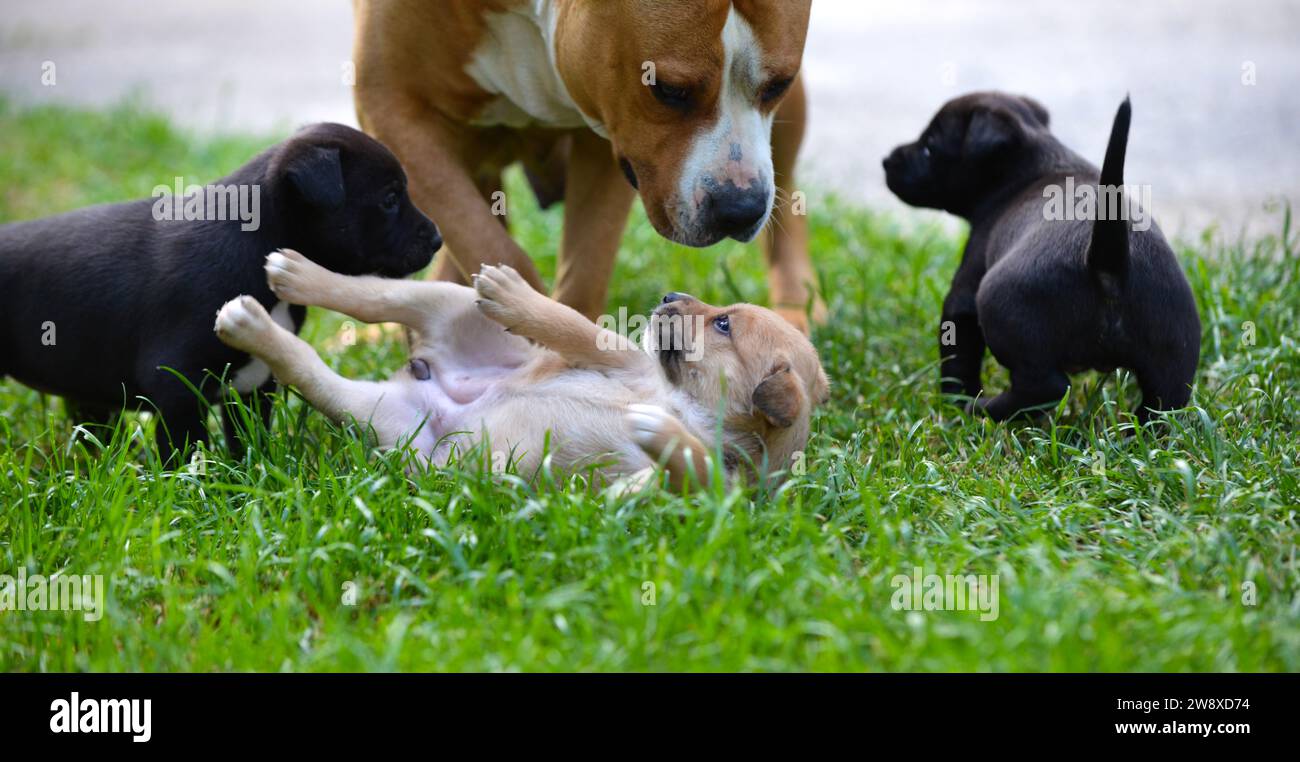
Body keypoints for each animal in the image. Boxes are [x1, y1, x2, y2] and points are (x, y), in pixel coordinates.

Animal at [209, 245, 826, 488]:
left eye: (723, 326)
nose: (670, 296)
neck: (683, 402)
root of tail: (433, 379)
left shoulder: (730, 492)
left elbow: (691, 473)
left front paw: (658, 442)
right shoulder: (623, 357)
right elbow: (569, 323)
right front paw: (514, 295)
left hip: (385, 421)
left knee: (311, 369)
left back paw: (250, 323)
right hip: (449, 300)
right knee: (374, 295)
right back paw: (295, 274)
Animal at [353, 0, 821, 332]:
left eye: (777, 84)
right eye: (668, 91)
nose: (739, 208)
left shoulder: (611, 133)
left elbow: (587, 265)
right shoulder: (392, 109)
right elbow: (481, 236)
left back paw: (794, 311)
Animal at [883, 93, 1196, 421]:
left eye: (929, 147)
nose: (886, 161)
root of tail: (1108, 263)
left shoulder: (964, 292)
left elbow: (958, 358)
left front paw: (954, 401)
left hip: (1000, 308)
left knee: (1045, 387)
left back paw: (983, 408)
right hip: (1176, 355)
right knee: (1164, 403)